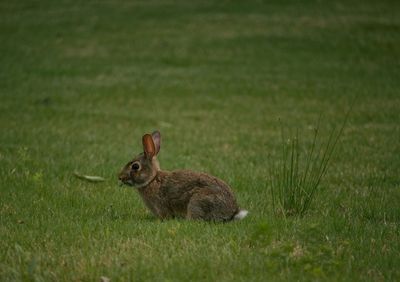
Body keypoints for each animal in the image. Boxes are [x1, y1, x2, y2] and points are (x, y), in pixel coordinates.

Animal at [117, 131, 247, 223]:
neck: (152, 179)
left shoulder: (161, 206)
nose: (120, 177)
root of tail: (232, 212)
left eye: (135, 166)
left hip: (197, 202)